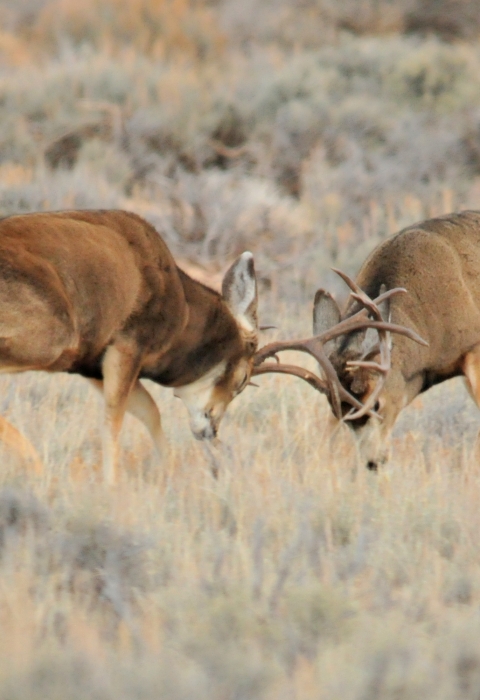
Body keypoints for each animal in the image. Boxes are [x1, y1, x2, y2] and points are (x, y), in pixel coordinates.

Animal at [0, 209, 262, 483]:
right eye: (243, 379)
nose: (211, 430)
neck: (180, 300)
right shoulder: (126, 350)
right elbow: (114, 420)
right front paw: (112, 485)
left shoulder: (92, 367)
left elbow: (148, 410)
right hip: (54, 340)